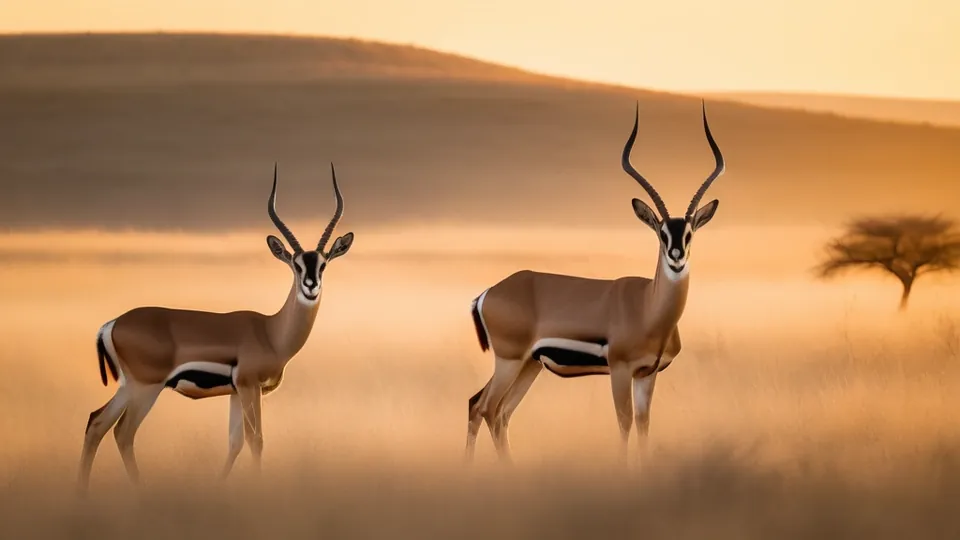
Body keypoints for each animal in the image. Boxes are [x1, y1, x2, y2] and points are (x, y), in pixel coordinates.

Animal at [77, 163, 354, 492]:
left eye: (322, 264)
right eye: (296, 265)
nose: (311, 286)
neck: (271, 332)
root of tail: (112, 323)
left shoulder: (236, 392)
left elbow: (235, 442)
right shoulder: (249, 387)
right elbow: (256, 440)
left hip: (127, 387)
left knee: (96, 422)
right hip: (144, 388)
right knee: (123, 432)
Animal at [465, 100, 725, 464]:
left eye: (689, 233)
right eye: (661, 233)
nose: (676, 256)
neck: (648, 308)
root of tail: (489, 293)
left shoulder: (647, 374)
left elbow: (643, 424)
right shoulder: (619, 369)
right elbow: (625, 423)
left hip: (529, 365)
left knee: (492, 410)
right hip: (509, 361)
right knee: (486, 408)